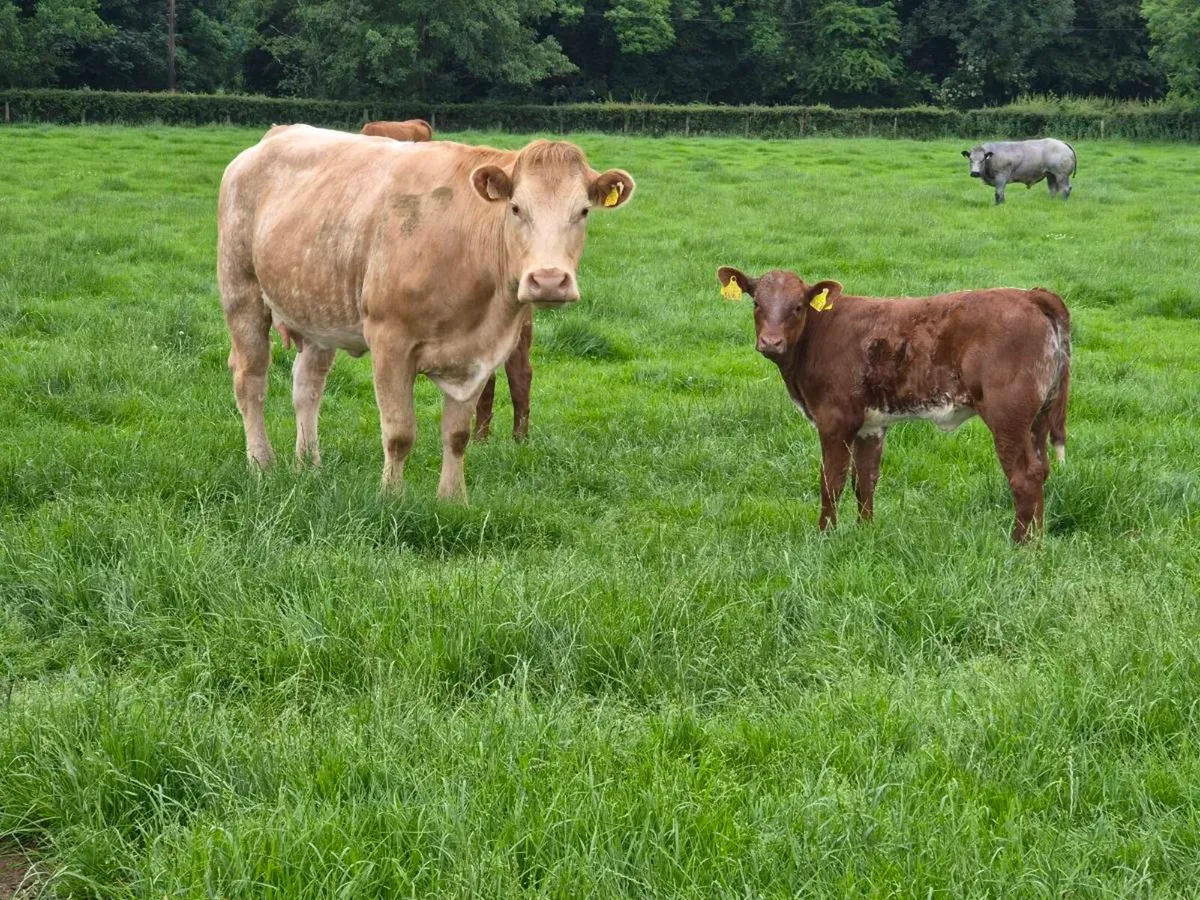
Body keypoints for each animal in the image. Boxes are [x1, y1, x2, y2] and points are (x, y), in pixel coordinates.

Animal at [218, 125, 634, 501]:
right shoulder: (390, 341)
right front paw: (392, 497)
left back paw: (309, 465)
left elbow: (457, 435)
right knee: (250, 379)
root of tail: (272, 136)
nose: (548, 281)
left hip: (319, 311)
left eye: (583, 211)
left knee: (307, 386)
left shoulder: (480, 353)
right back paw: (262, 463)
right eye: (516, 208)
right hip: (241, 291)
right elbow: (399, 433)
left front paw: (452, 500)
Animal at [716, 268, 1070, 542]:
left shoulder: (834, 420)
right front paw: (864, 533)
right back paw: (1038, 541)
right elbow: (865, 481)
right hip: (1037, 418)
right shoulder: (871, 425)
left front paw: (824, 537)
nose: (770, 342)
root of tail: (1031, 295)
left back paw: (1020, 546)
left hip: (1007, 416)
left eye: (799, 307)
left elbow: (831, 482)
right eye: (757, 302)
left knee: (1024, 477)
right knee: (1041, 470)